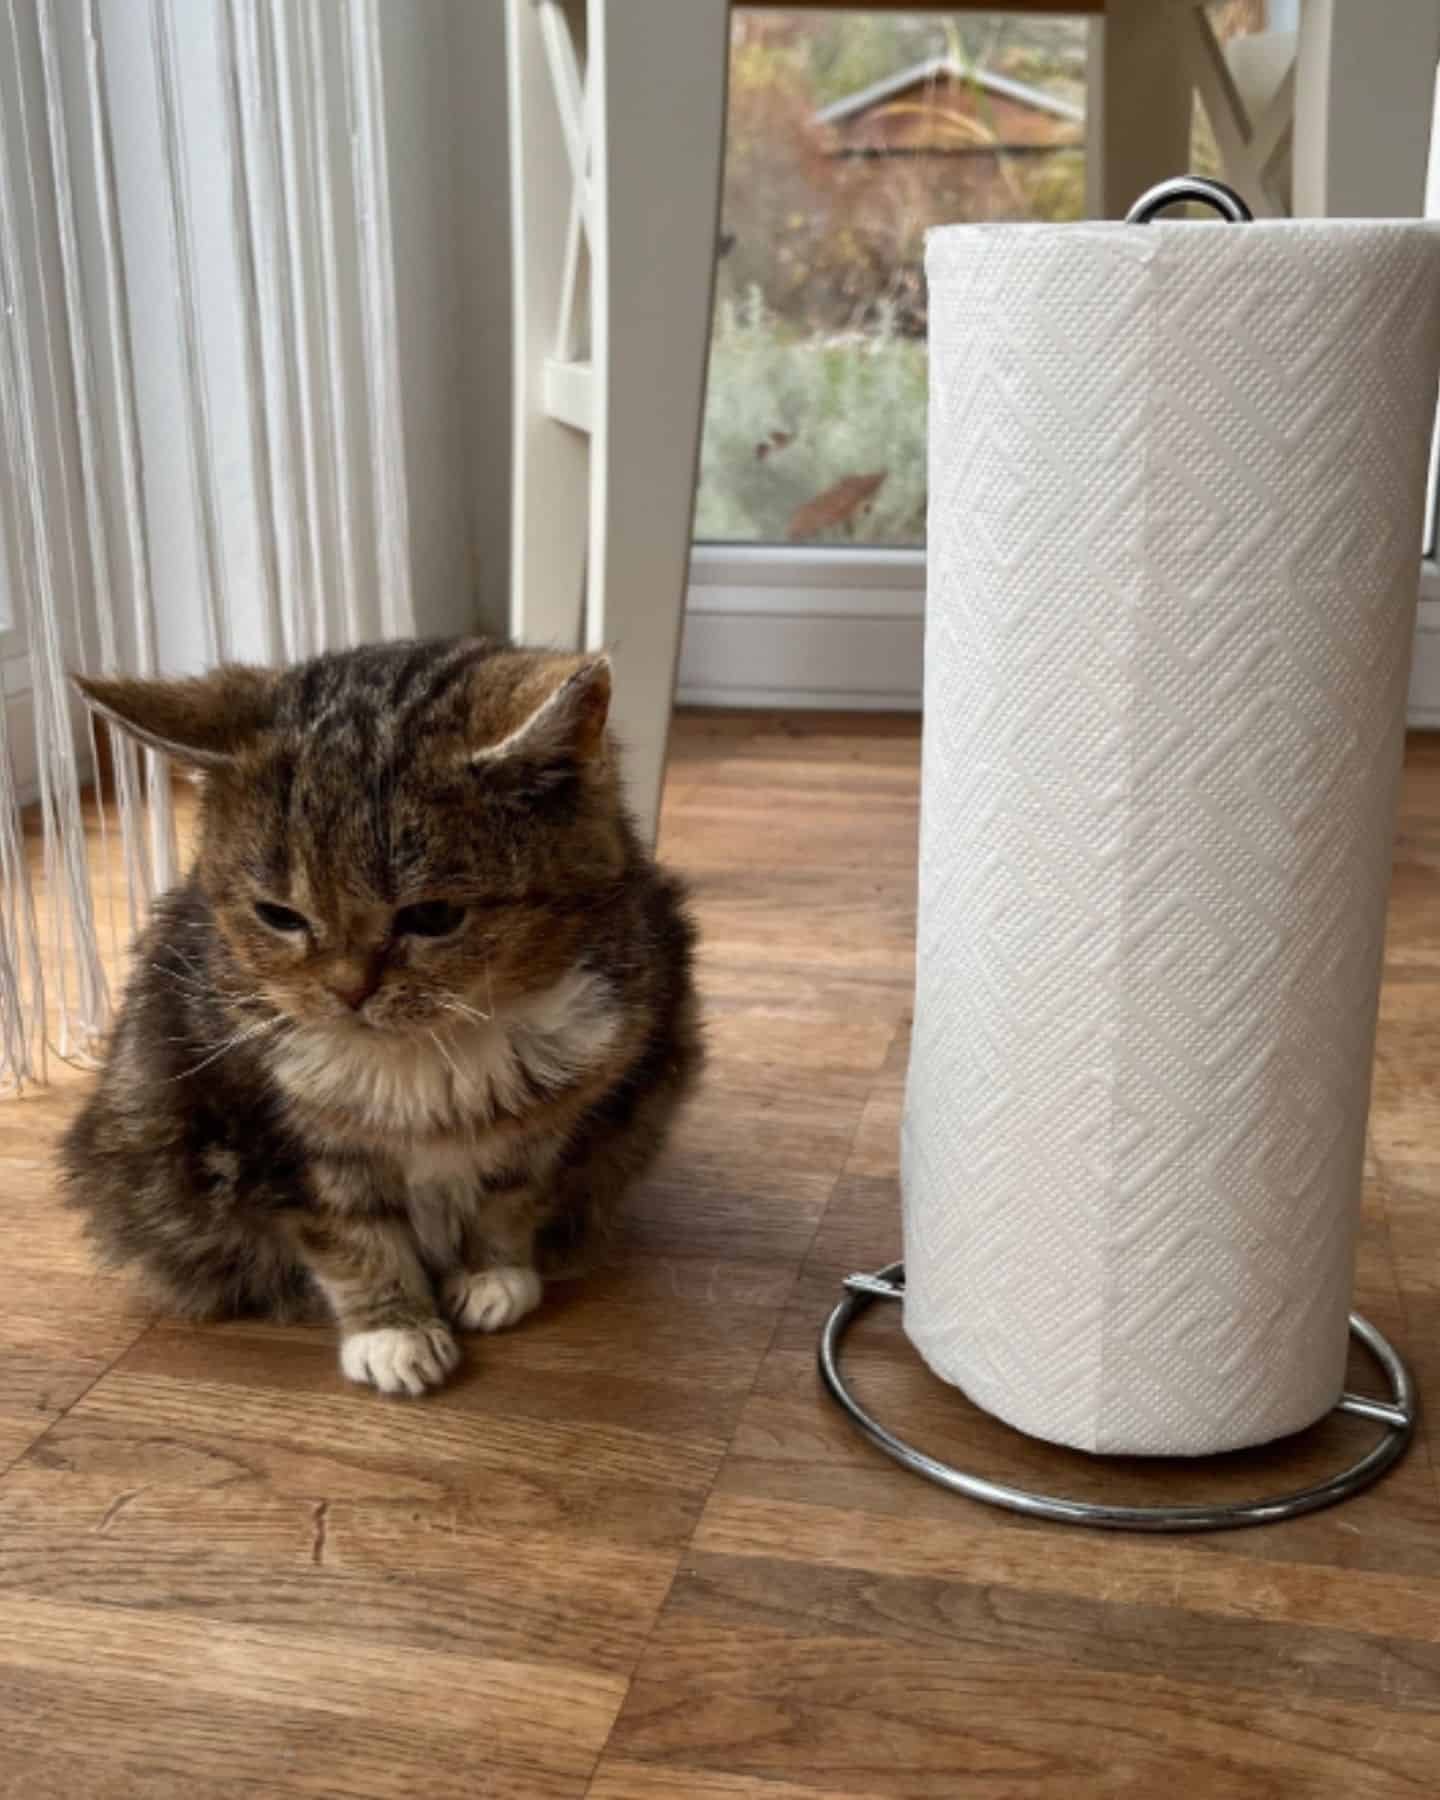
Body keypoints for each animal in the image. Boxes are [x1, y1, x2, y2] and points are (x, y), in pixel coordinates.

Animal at [58, 640, 702, 1396]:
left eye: (434, 915)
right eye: (278, 915)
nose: (348, 990)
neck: (430, 1051)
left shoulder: (571, 1105)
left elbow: (512, 1192)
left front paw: (493, 1273)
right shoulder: (271, 1130)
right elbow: (349, 1236)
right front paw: (394, 1330)